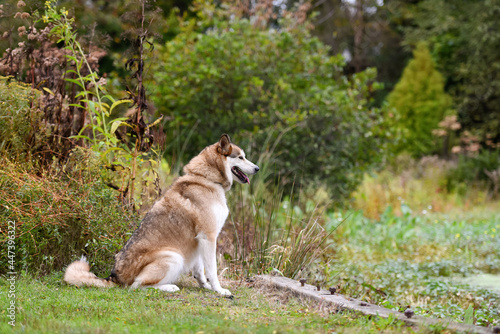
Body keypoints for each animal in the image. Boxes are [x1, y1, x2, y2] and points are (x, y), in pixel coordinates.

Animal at [64, 133, 260, 294]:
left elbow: (199, 271)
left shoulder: (199, 240)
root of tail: (115, 277)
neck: (206, 179)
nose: (257, 168)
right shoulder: (209, 237)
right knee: (136, 286)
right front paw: (219, 290)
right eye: (241, 157)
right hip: (174, 257)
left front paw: (206, 287)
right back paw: (170, 287)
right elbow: (212, 270)